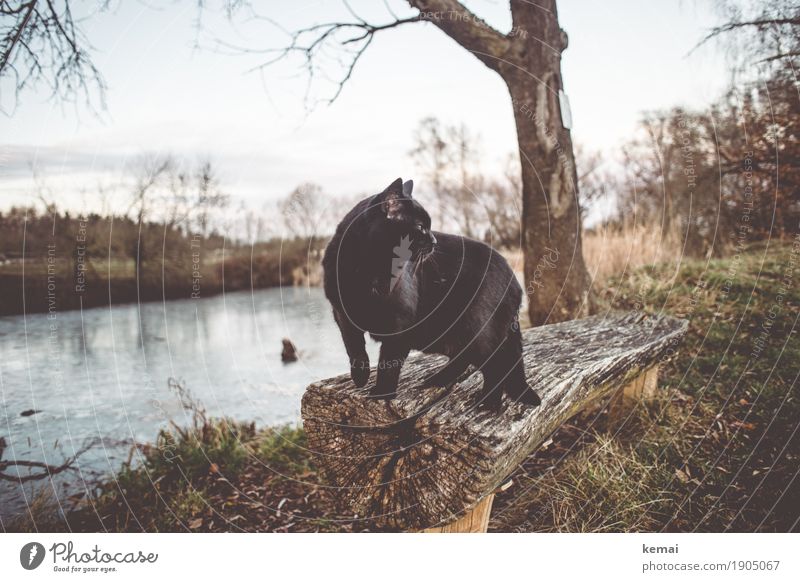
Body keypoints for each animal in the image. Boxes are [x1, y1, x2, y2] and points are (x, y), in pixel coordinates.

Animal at [322, 178, 540, 410]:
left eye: (428, 226)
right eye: (420, 227)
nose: (434, 241)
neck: (367, 269)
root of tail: (515, 281)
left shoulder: (400, 326)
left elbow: (388, 364)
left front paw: (382, 393)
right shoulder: (341, 315)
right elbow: (353, 347)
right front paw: (360, 377)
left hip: (477, 329)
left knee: (496, 366)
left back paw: (487, 403)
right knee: (465, 358)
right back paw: (438, 380)